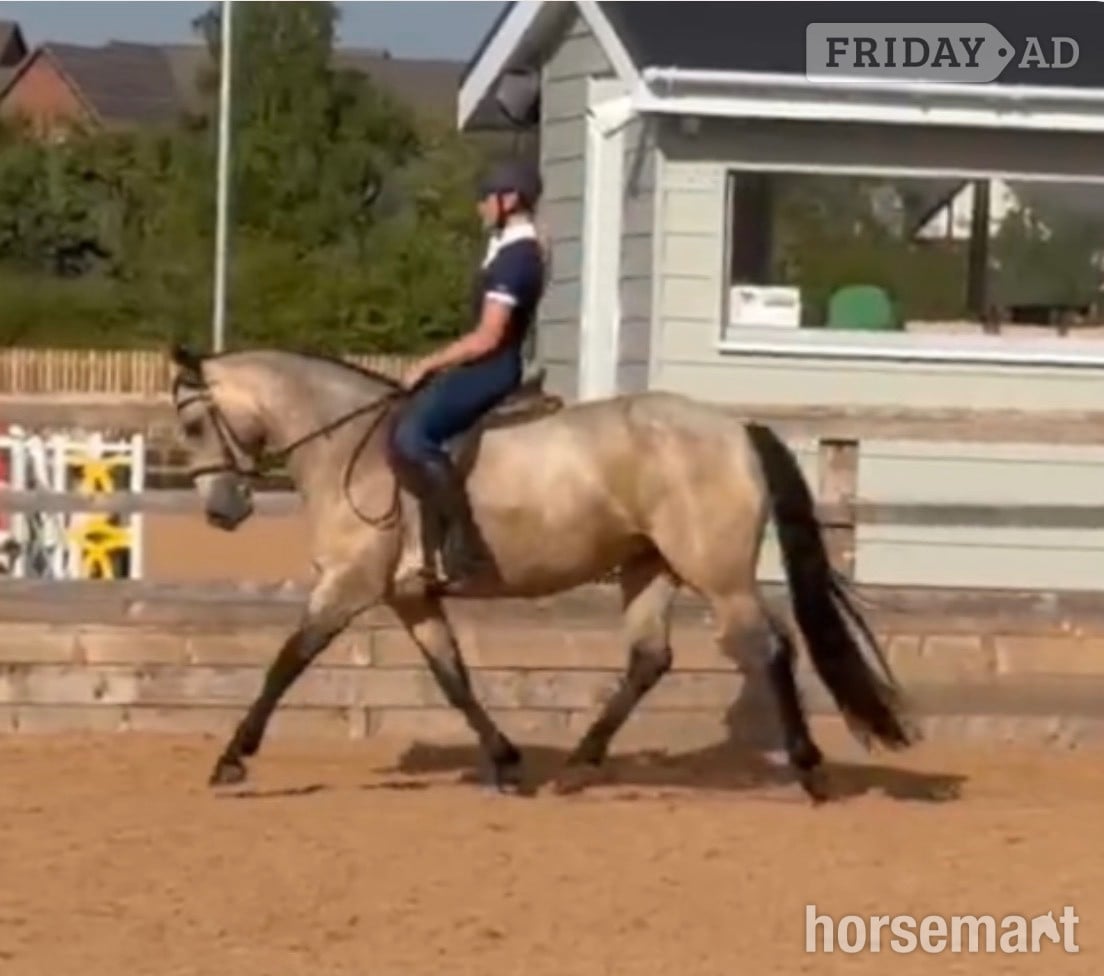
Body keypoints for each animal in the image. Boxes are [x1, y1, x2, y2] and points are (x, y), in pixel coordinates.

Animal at [167, 344, 915, 800]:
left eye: (195, 425)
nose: (221, 510)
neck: (348, 444)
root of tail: (736, 429)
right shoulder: (410, 597)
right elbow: (454, 679)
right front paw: (505, 762)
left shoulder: (349, 585)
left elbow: (287, 661)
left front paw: (232, 758)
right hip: (647, 568)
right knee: (650, 658)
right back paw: (579, 766)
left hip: (718, 576)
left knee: (770, 648)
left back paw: (810, 771)